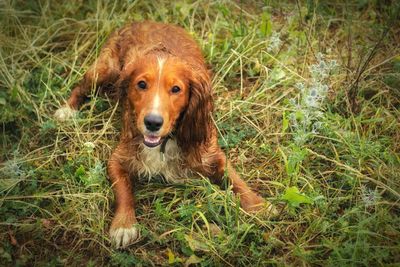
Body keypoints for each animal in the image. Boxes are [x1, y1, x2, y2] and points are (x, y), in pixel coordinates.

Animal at [54, 21, 272, 249]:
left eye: (176, 89)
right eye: (141, 84)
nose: (152, 122)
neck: (164, 143)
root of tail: (145, 21)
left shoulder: (211, 152)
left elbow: (235, 178)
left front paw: (257, 205)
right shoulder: (118, 158)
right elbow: (123, 190)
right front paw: (124, 225)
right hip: (105, 69)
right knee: (81, 86)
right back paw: (67, 110)